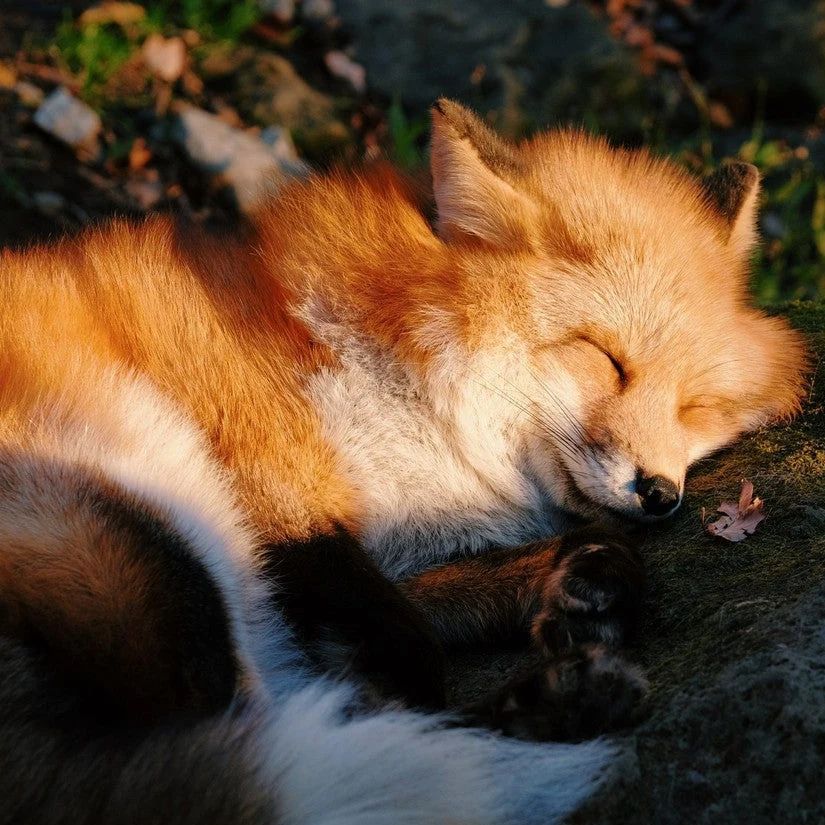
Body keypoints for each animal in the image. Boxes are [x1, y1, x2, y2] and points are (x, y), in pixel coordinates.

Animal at [0, 98, 808, 825]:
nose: (660, 493)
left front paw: (574, 580)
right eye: (607, 360)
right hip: (153, 537)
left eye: (695, 407)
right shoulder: (273, 488)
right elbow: (406, 649)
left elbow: (439, 602)